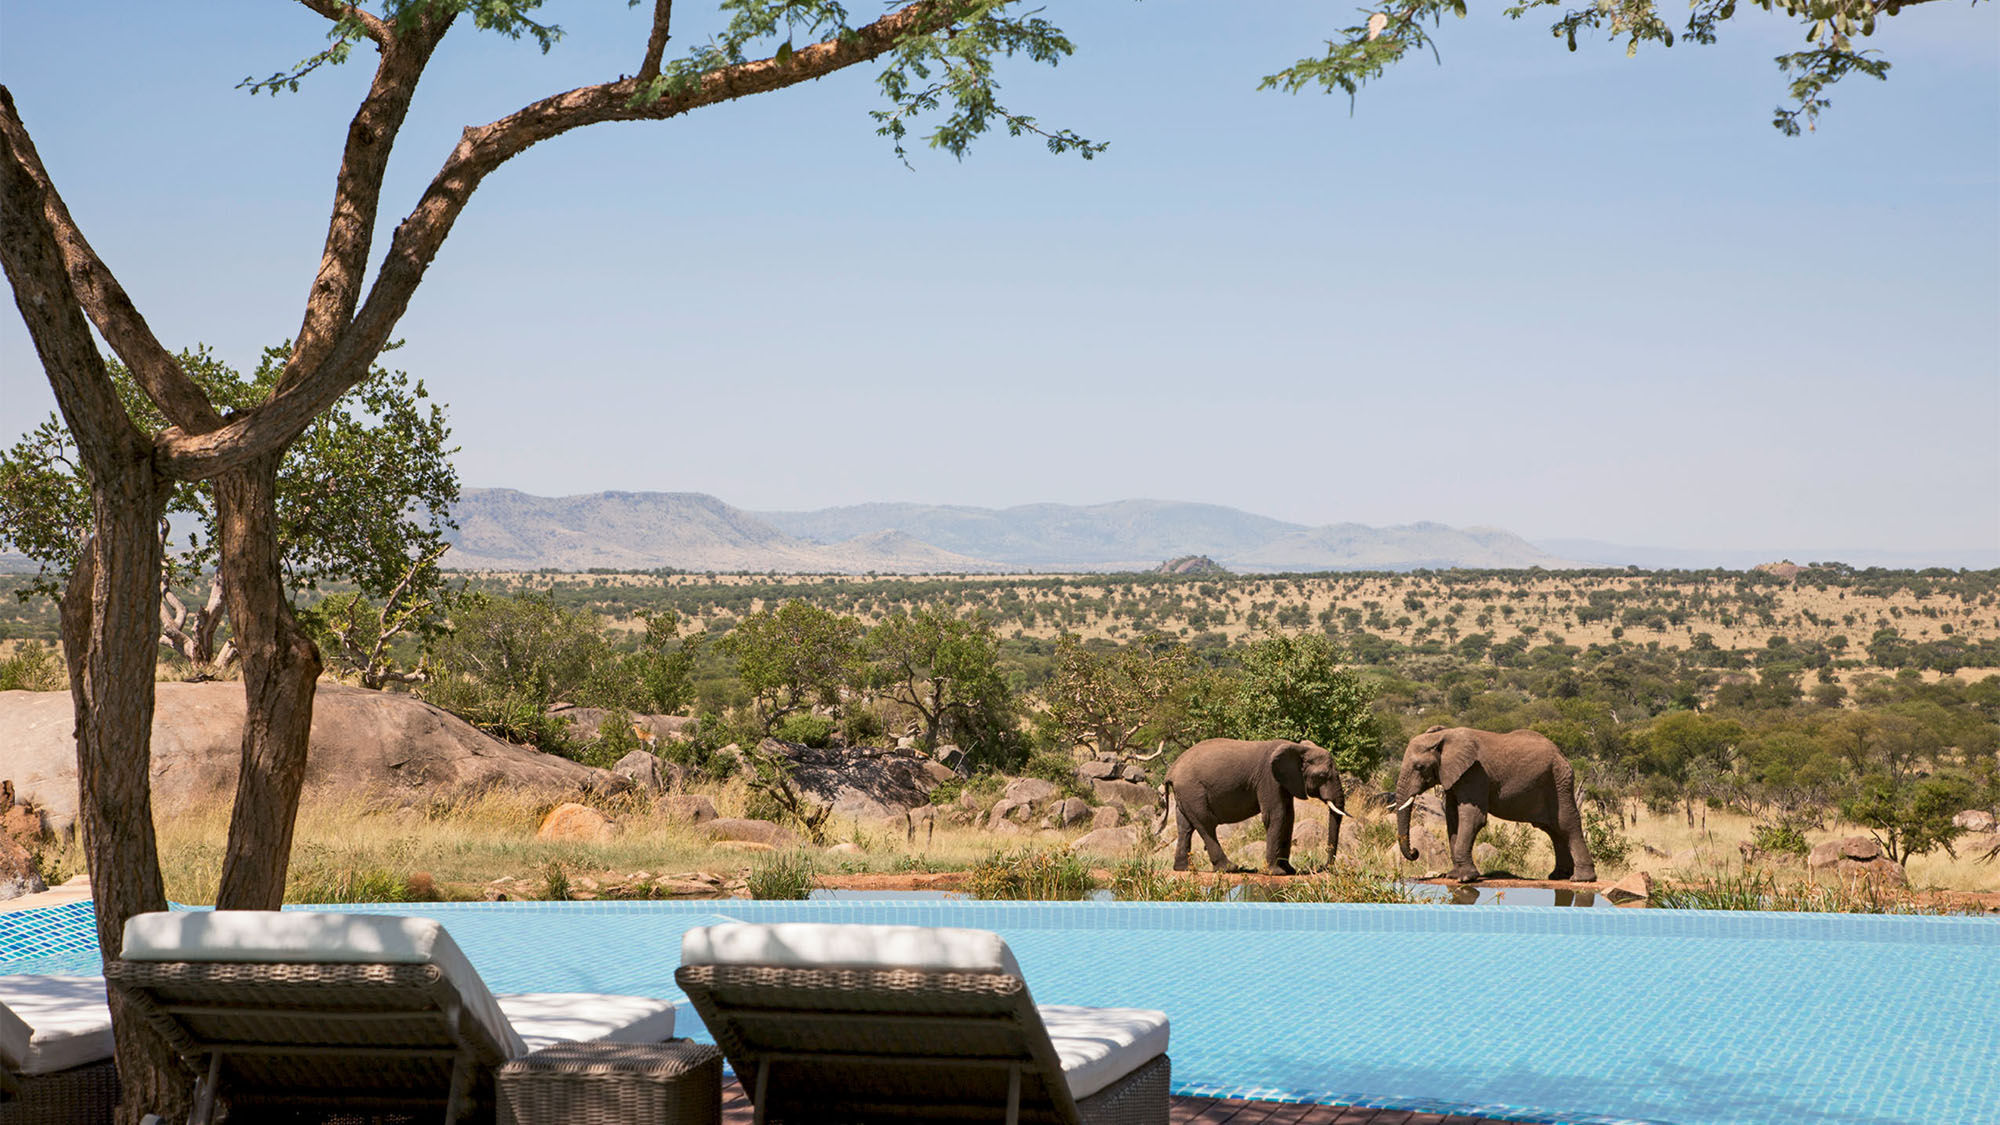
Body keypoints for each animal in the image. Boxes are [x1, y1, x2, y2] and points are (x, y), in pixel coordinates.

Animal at [1160, 738, 1347, 875]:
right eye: (1322, 776)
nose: (1323, 867)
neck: (1299, 748)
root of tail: (1171, 771)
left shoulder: (1284, 782)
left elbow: (1289, 817)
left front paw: (1289, 871)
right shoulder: (1269, 778)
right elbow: (1277, 815)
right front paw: (1276, 873)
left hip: (1185, 794)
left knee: (1185, 827)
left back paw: (1184, 869)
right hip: (1192, 790)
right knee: (1206, 824)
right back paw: (1230, 868)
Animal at [1393, 726, 1596, 884]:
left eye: (1419, 767)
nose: (1415, 852)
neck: (1442, 736)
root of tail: (1561, 754)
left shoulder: (1475, 773)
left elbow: (1472, 817)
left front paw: (1466, 878)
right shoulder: (1454, 775)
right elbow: (1452, 817)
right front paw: (1454, 875)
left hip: (1559, 781)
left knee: (1567, 824)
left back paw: (1581, 879)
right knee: (1553, 829)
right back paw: (1558, 876)